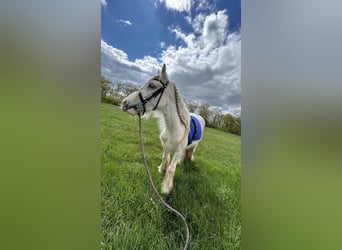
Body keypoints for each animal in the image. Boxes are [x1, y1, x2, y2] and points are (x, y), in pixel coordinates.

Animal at [121, 64, 204, 193]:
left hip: (194, 145)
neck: (174, 129)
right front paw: (161, 170)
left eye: (152, 85)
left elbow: (171, 169)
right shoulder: (165, 146)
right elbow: (165, 158)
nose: (124, 102)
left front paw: (166, 188)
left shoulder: (177, 151)